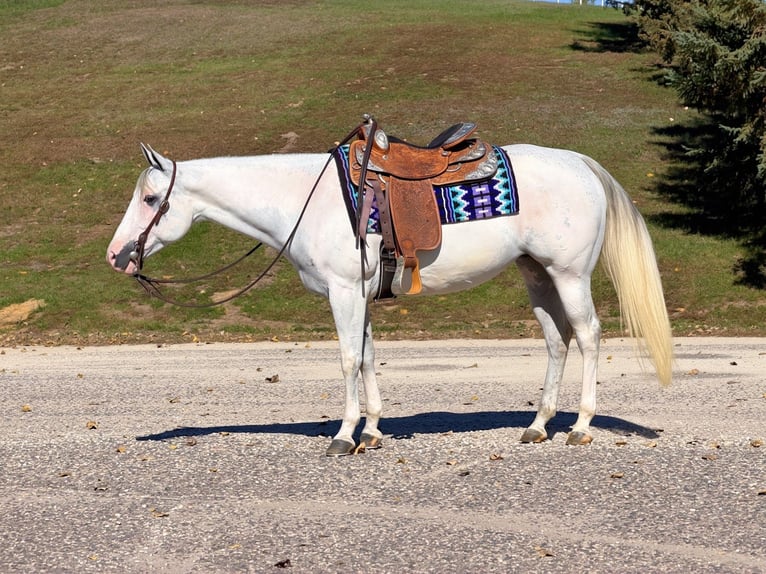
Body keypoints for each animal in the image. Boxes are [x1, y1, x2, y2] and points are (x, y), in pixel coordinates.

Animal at [107, 138, 673, 456]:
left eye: (152, 199)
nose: (116, 255)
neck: (304, 199)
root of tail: (580, 164)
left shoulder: (342, 291)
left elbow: (347, 359)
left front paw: (344, 434)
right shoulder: (358, 294)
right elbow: (368, 358)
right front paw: (373, 432)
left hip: (570, 274)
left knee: (589, 335)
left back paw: (580, 427)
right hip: (537, 274)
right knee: (558, 340)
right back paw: (537, 426)